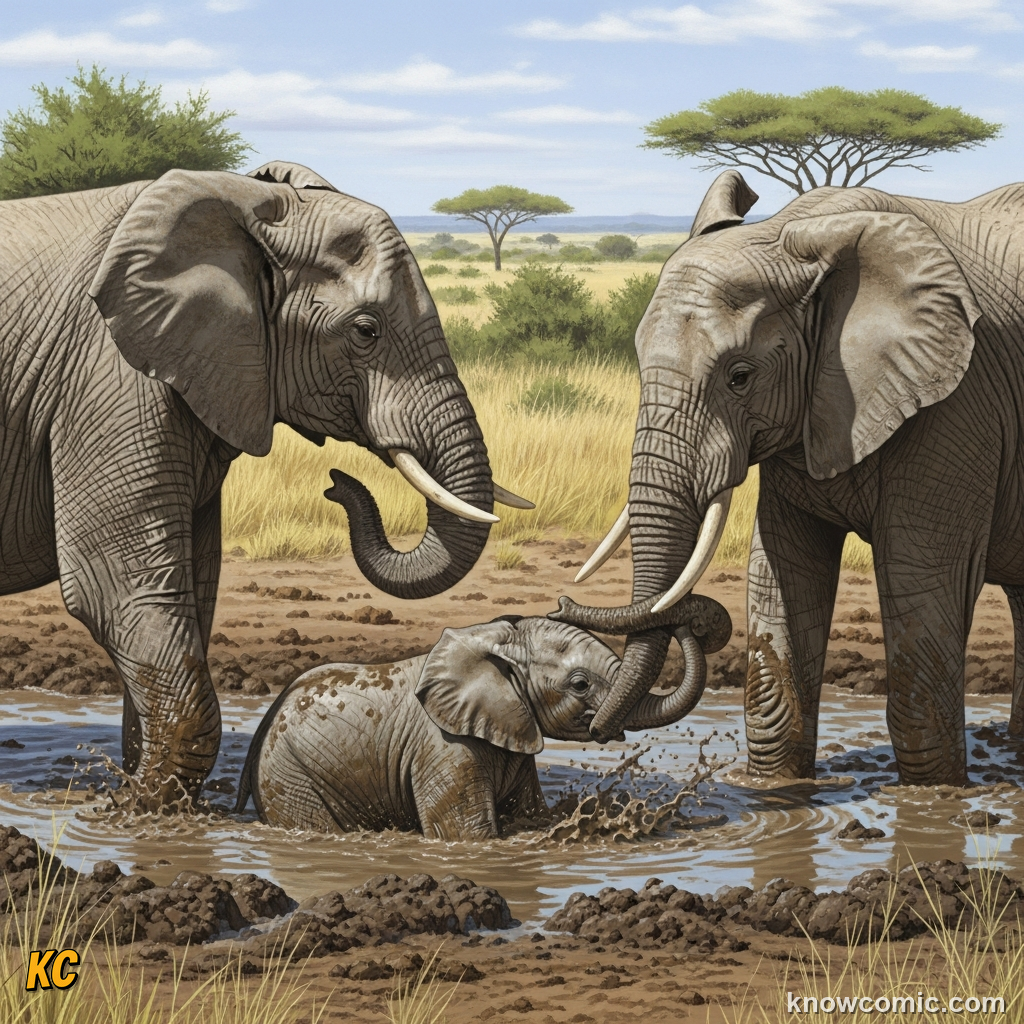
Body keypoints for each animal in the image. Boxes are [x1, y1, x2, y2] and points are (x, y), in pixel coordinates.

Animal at [0, 160, 528, 805]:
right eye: (366, 330)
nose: (336, 484)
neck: (246, 201)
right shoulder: (107, 377)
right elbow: (115, 587)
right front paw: (135, 807)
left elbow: (193, 588)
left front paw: (142, 794)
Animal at [235, 602, 731, 839]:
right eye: (579, 685)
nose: (692, 621)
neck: (492, 637)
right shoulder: (444, 749)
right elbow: (469, 834)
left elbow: (529, 813)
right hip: (292, 778)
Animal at [551, 168, 1024, 787]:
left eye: (740, 377)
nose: (559, 603)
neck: (796, 234)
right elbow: (782, 573)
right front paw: (774, 789)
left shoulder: (959, 402)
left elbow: (920, 577)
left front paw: (934, 797)